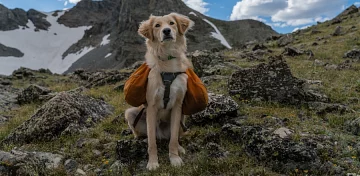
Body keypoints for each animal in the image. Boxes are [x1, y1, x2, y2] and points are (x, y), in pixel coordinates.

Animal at [125, 13, 195, 170]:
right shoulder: (151, 107)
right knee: (147, 136)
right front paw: (152, 162)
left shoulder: (177, 106)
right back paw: (141, 140)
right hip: (131, 113)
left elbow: (173, 139)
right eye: (157, 25)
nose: (166, 31)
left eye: (172, 23)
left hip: (182, 117)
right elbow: (152, 143)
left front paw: (175, 158)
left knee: (174, 136)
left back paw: (179, 148)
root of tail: (161, 134)